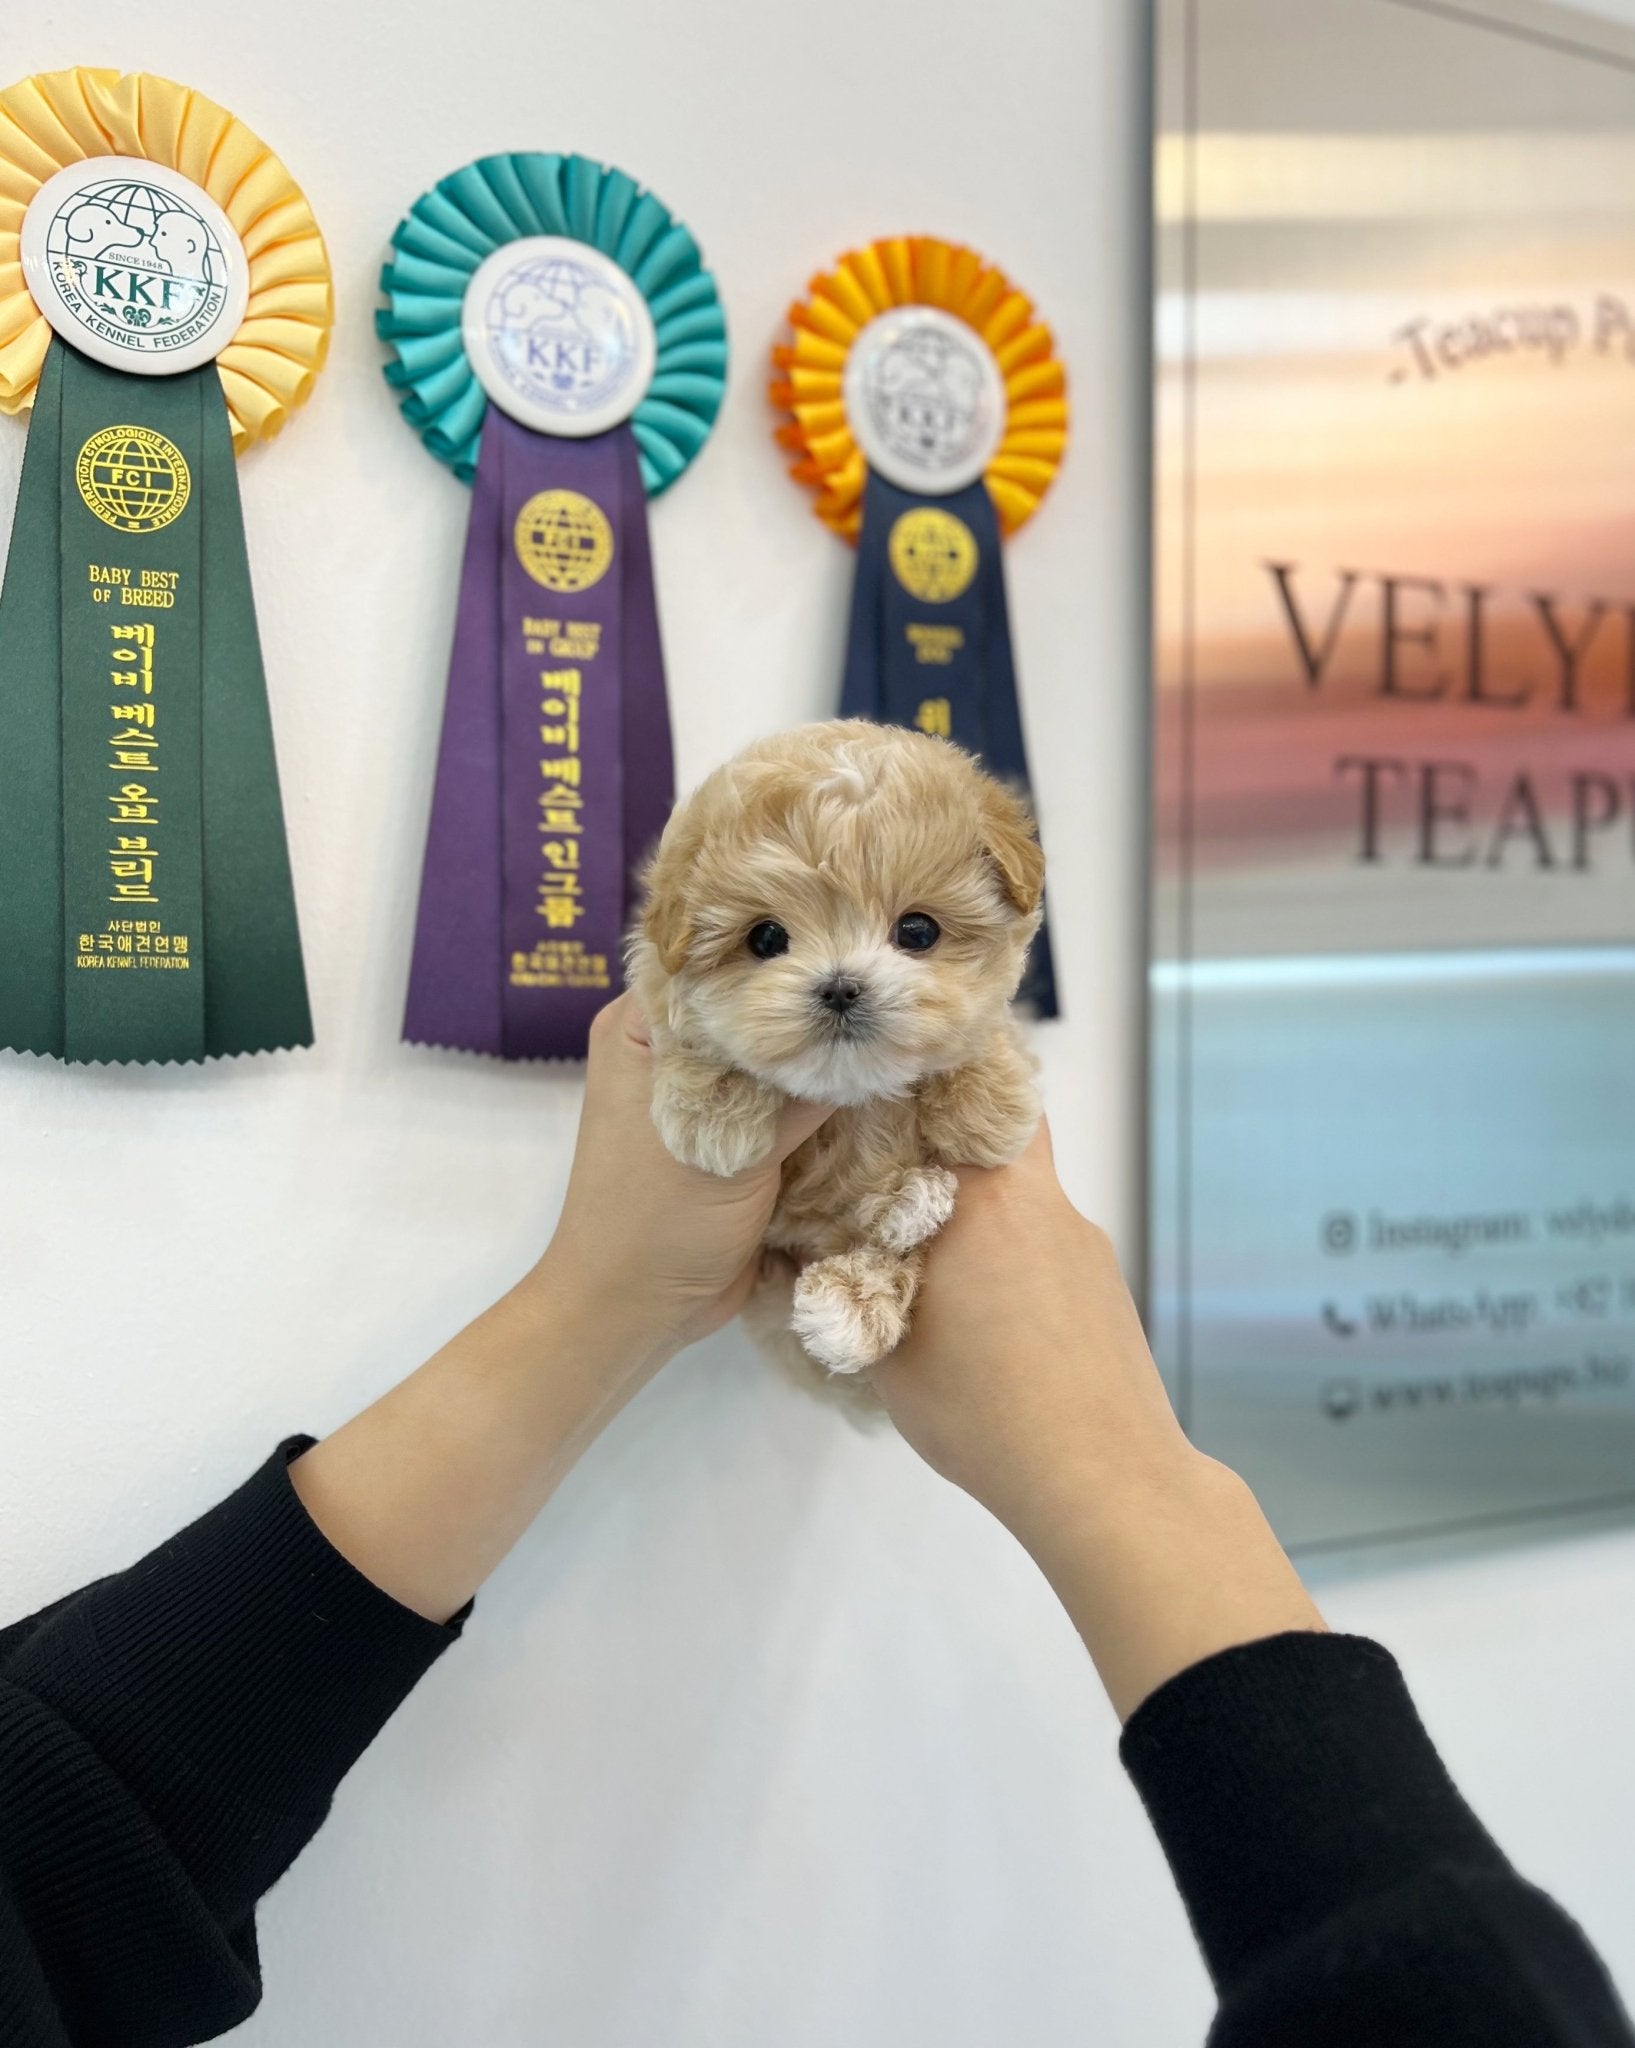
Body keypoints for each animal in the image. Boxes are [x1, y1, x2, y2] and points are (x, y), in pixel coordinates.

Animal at [635, 716, 1044, 1376]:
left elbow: (985, 1032)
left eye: (918, 931)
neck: (853, 1101)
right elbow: (687, 1032)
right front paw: (713, 1115)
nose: (841, 987)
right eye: (766, 938)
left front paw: (988, 1111)